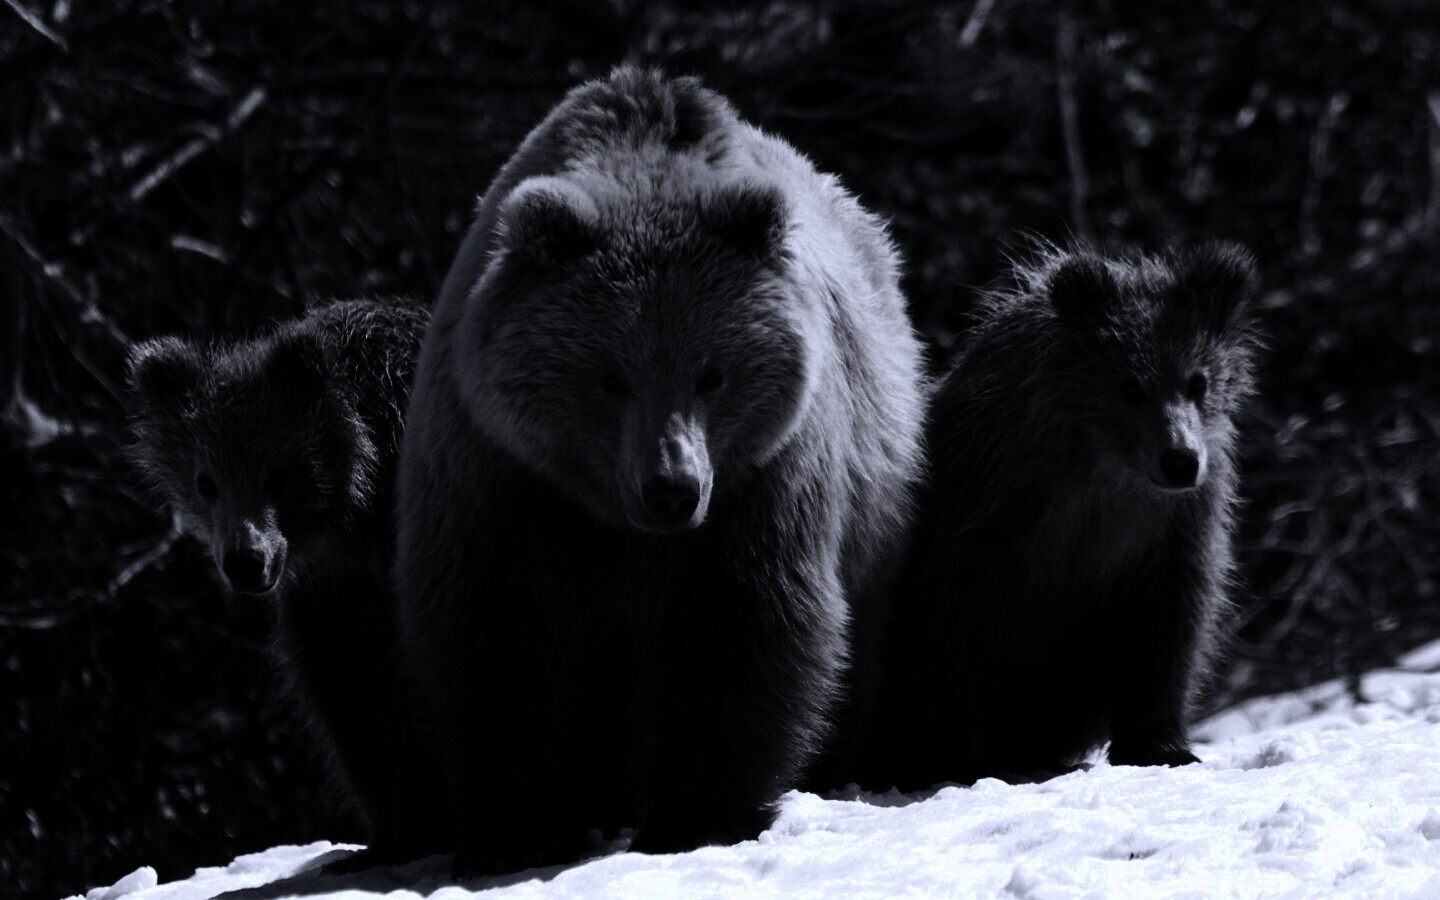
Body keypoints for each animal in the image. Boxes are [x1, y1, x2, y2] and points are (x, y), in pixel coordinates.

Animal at [397, 64, 921, 869]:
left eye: (713, 373)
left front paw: (697, 814)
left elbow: (734, 623)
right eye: (611, 376)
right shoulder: (504, 476)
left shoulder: (758, 482)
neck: (611, 516)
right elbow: (503, 633)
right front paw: (519, 828)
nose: (672, 487)